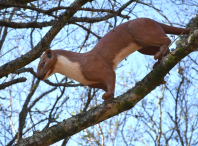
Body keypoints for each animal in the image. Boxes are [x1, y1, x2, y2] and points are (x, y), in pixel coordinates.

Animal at [36, 17, 190, 101]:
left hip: (142, 32)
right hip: (143, 47)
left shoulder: (97, 66)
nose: (38, 76)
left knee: (167, 39)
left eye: (42, 64)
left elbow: (111, 76)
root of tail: (152, 19)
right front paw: (107, 97)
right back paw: (158, 62)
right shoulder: (94, 83)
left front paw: (107, 95)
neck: (77, 71)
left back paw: (158, 56)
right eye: (37, 67)